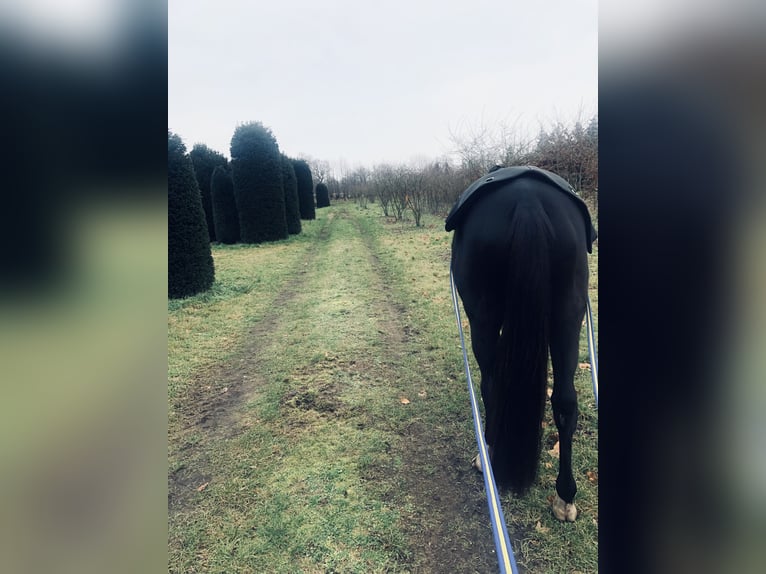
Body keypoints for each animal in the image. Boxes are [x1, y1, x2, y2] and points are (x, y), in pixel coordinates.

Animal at [450, 165, 600, 520]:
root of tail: (527, 200)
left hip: (484, 318)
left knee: (491, 384)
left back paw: (488, 453)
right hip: (568, 315)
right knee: (565, 402)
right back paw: (565, 496)